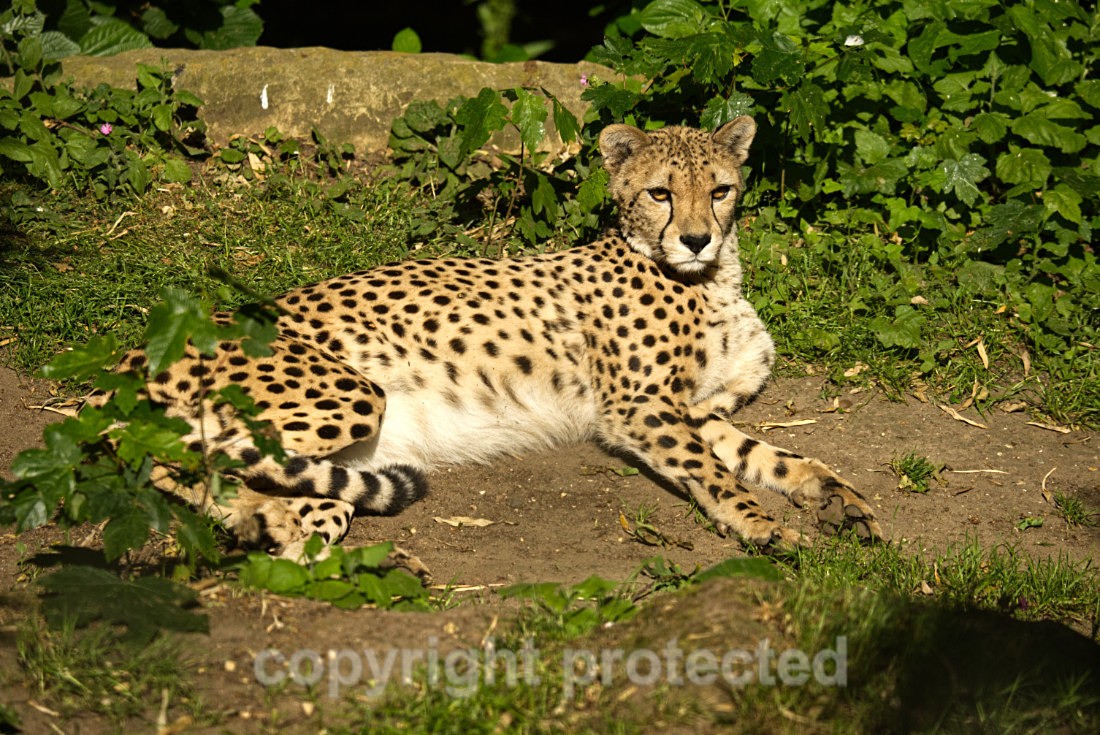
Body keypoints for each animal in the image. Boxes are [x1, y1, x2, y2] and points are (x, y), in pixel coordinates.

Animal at [105, 116, 882, 559]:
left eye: (720, 190)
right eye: (660, 193)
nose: (696, 238)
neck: (712, 278)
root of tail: (134, 351)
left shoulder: (695, 409)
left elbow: (777, 457)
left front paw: (838, 501)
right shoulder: (640, 409)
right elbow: (717, 474)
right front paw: (762, 526)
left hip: (333, 470)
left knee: (292, 516)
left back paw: (271, 526)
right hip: (348, 396)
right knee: (171, 457)